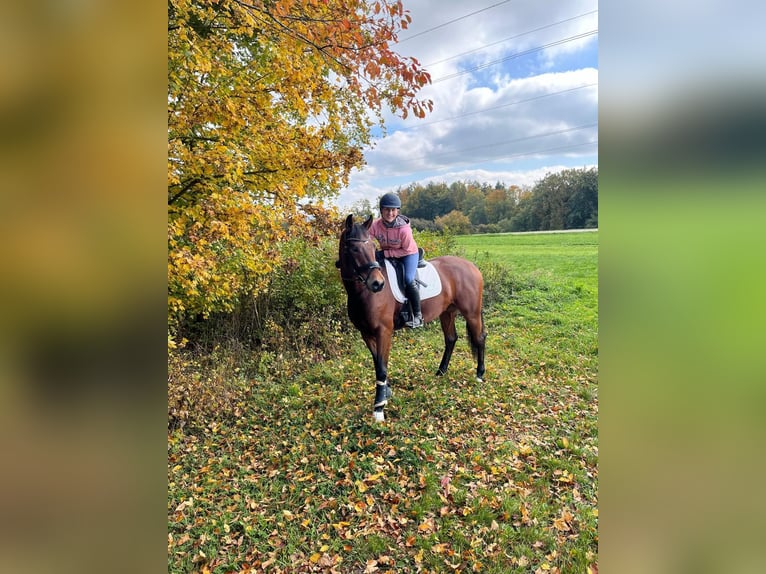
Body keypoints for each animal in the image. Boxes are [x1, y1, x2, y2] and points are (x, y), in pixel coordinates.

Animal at [337, 214, 486, 422]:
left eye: (372, 247)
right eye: (354, 248)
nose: (378, 284)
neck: (363, 293)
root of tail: (471, 266)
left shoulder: (384, 331)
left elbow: (381, 367)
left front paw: (379, 409)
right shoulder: (366, 333)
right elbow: (377, 363)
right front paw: (386, 393)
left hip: (471, 313)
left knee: (479, 338)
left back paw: (479, 375)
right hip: (447, 313)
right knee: (451, 339)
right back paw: (441, 372)